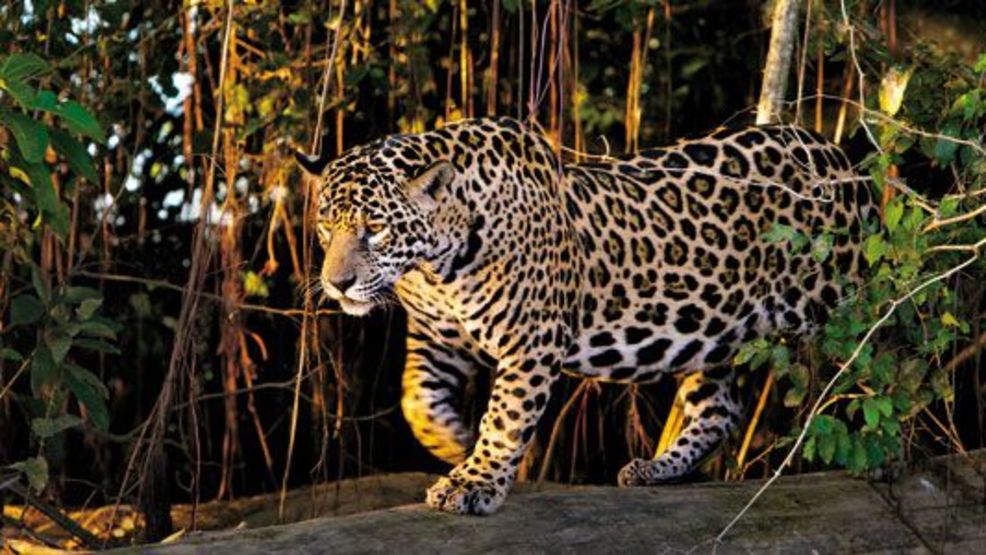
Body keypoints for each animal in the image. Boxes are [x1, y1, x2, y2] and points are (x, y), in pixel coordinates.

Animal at [294, 116, 878, 515]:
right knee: (722, 408)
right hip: (709, 328)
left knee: (887, 356)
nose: (337, 283)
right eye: (325, 225)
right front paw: (456, 445)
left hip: (845, 299)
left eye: (375, 229)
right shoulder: (437, 340)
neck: (435, 268)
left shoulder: (530, 342)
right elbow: (416, 402)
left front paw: (476, 479)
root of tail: (837, 154)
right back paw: (657, 468)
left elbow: (505, 418)